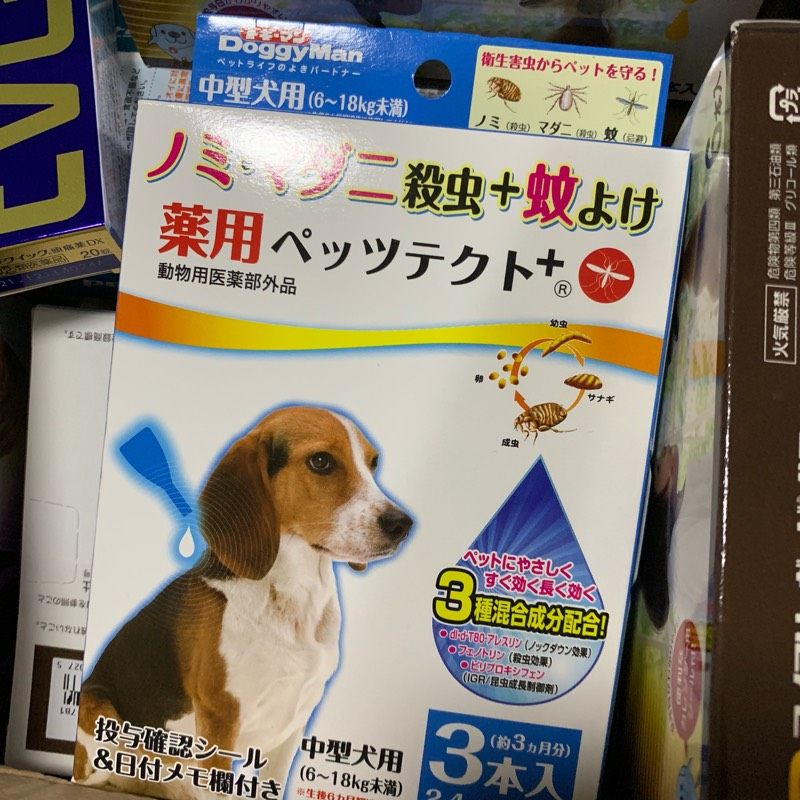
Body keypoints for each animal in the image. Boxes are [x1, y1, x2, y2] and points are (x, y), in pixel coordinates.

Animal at [74, 406, 413, 797]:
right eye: (321, 461)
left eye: (373, 463)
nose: (402, 524)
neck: (294, 592)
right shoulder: (221, 718)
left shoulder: (292, 729)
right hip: (101, 721)